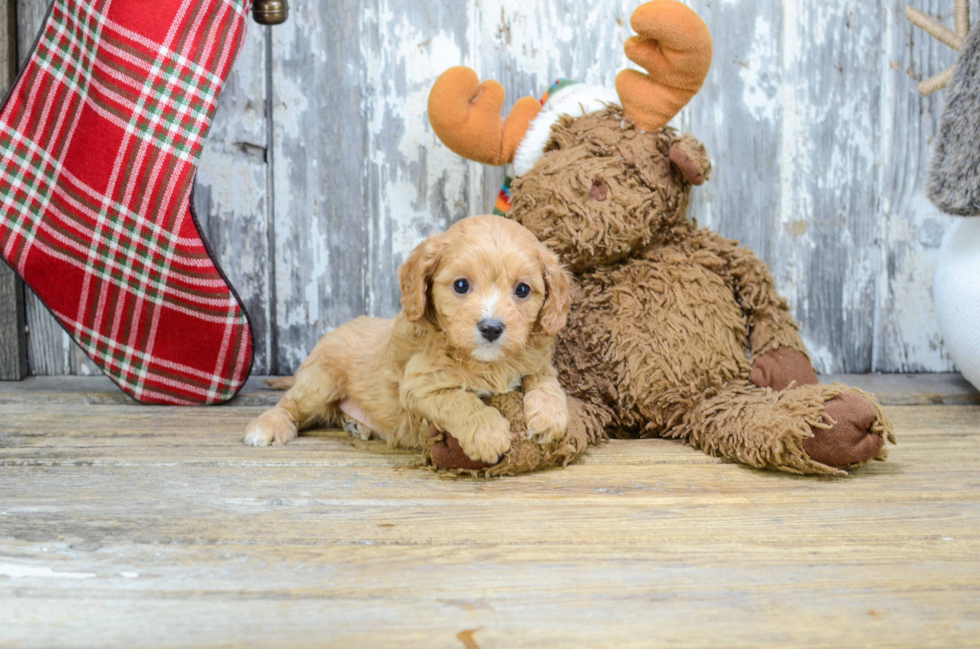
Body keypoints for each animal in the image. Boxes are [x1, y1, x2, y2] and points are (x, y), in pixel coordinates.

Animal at [240, 215, 572, 464]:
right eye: (461, 285)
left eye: (523, 290)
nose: (491, 328)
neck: (485, 362)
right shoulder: (419, 386)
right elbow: (460, 401)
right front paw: (488, 434)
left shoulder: (535, 359)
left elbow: (546, 380)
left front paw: (550, 417)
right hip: (320, 382)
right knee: (291, 404)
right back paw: (267, 427)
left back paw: (356, 423)